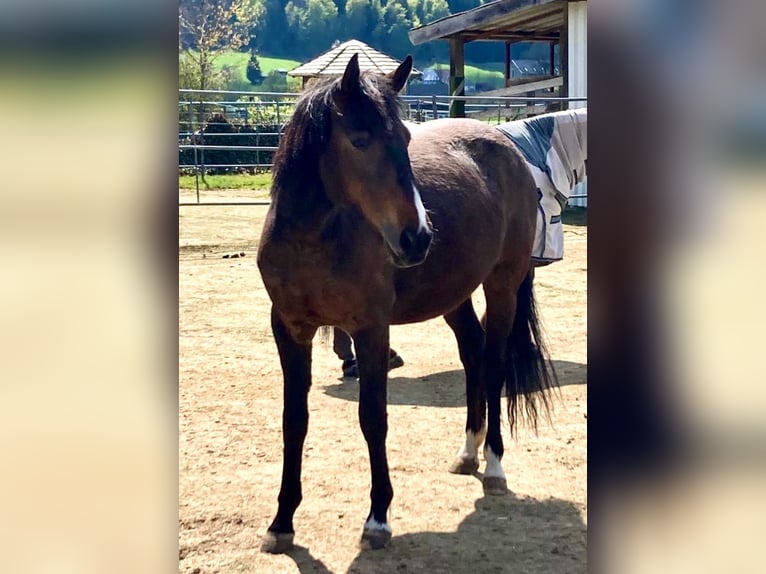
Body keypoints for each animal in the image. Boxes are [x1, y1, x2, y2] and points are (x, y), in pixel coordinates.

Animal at [256, 54, 557, 553]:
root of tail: (509, 148)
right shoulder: (290, 329)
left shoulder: (371, 329)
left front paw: (378, 518)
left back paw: (493, 462)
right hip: (455, 294)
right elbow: (293, 420)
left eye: (406, 139)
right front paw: (281, 521)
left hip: (502, 285)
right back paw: (468, 451)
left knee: (494, 363)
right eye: (360, 140)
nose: (417, 237)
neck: (314, 240)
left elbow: (373, 417)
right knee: (473, 353)